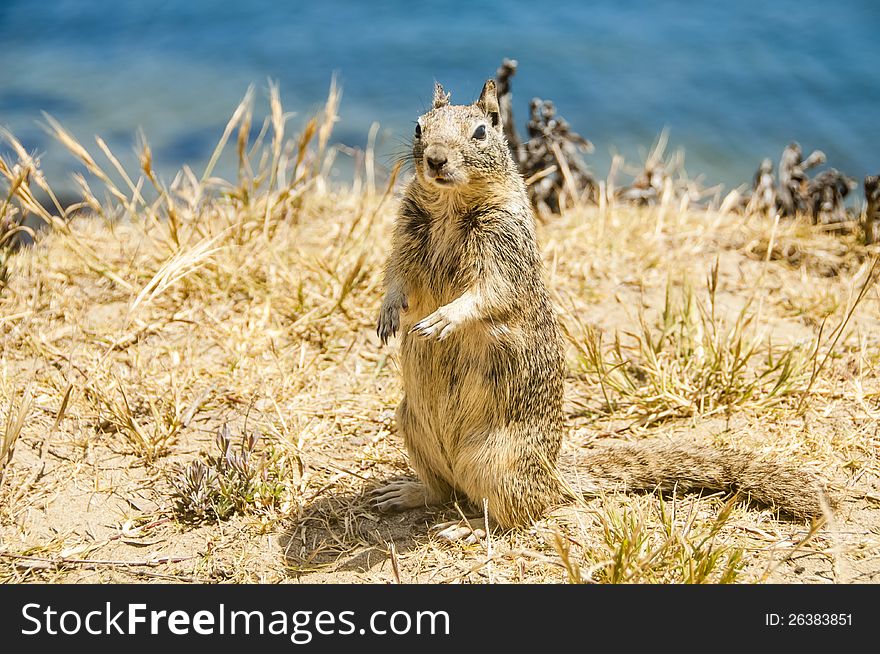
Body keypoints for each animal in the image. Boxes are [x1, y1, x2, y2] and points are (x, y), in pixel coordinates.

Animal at [374, 80, 828, 544]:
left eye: (481, 132)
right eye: (419, 126)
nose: (435, 159)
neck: (449, 205)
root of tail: (555, 476)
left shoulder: (506, 251)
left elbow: (490, 294)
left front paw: (444, 319)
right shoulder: (405, 235)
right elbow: (395, 275)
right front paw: (389, 313)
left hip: (500, 462)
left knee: (518, 513)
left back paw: (470, 529)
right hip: (410, 426)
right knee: (442, 490)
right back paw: (404, 492)